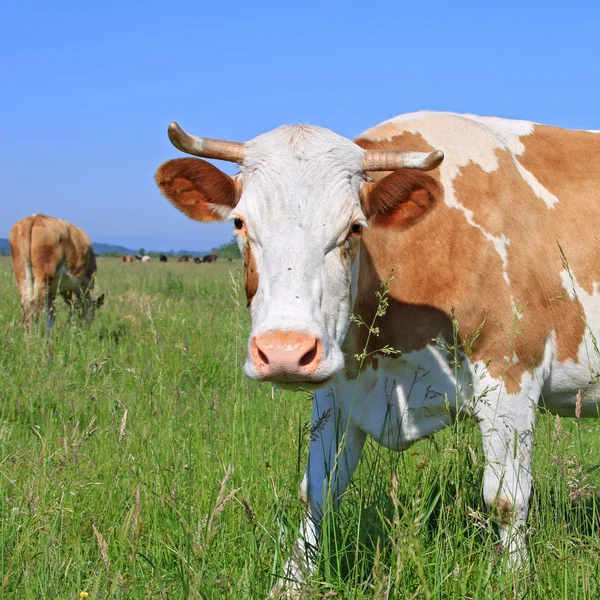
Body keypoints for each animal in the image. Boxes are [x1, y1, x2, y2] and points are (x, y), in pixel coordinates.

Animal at [155, 113, 600, 592]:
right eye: (239, 223)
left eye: (354, 227)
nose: (284, 352)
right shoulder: (337, 386)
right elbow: (317, 491)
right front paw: (292, 580)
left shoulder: (512, 374)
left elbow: (506, 499)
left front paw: (513, 580)